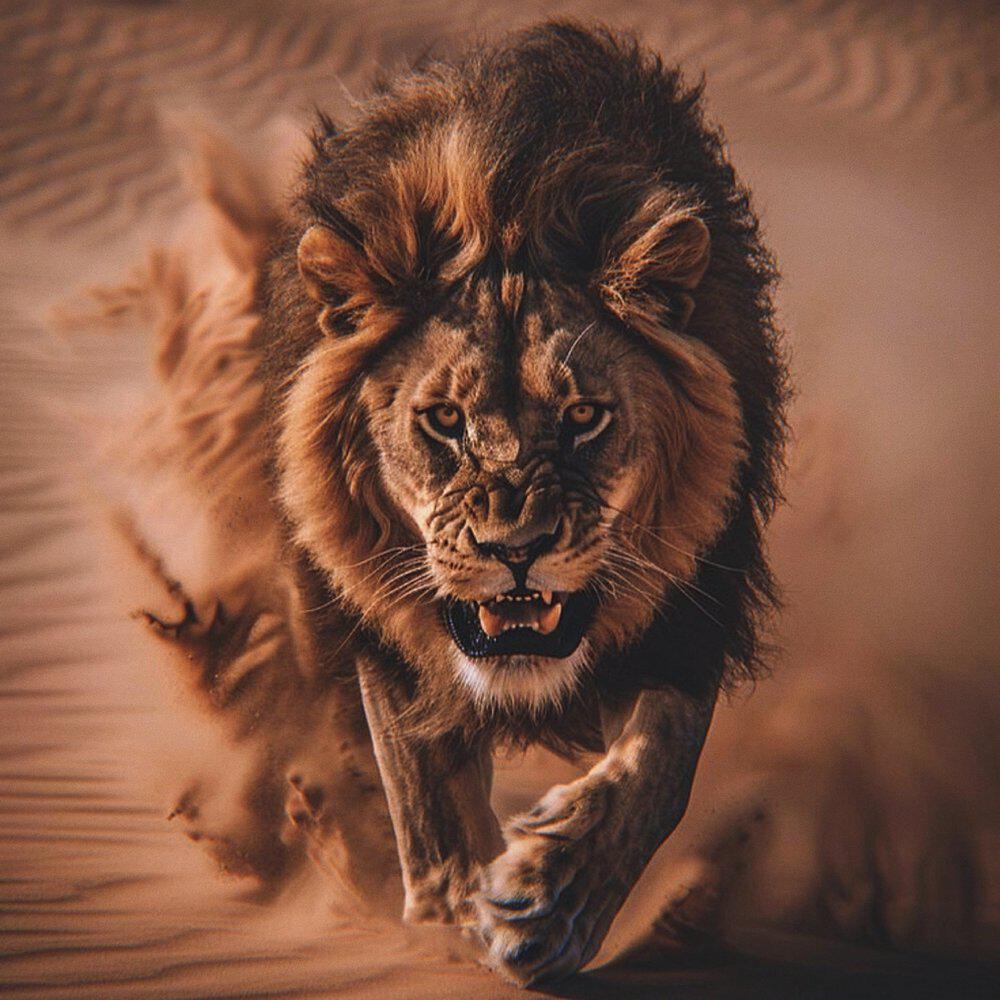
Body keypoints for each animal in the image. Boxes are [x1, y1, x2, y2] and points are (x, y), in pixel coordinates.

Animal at [113, 20, 788, 986]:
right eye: (443, 420)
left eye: (584, 416)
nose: (517, 548)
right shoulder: (386, 632)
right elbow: (426, 807)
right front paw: (458, 915)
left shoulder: (696, 609)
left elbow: (656, 771)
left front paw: (553, 901)